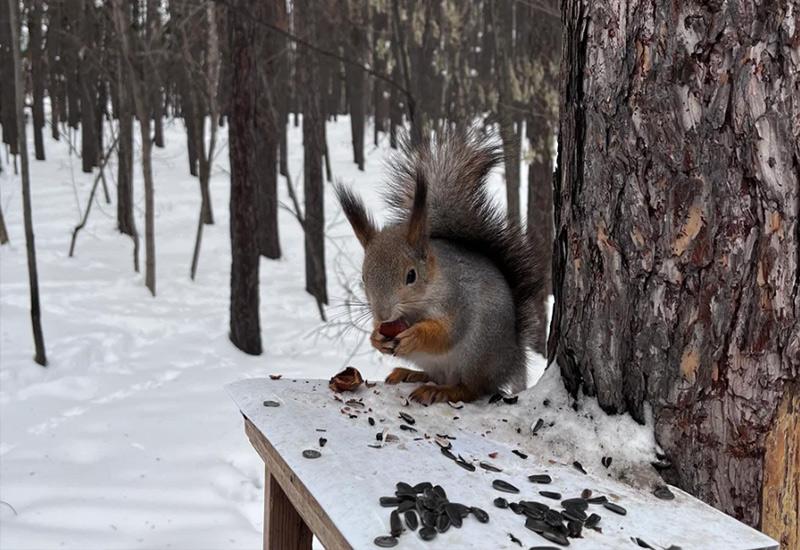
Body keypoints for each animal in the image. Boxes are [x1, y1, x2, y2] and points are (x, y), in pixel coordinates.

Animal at [334, 129, 548, 406]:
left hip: (478, 354)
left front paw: (415, 336)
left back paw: (442, 391)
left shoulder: (459, 301)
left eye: (411, 275)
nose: (383, 315)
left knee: (472, 389)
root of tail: (512, 360)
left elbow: (446, 334)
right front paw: (376, 337)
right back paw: (410, 374)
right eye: (363, 277)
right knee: (435, 375)